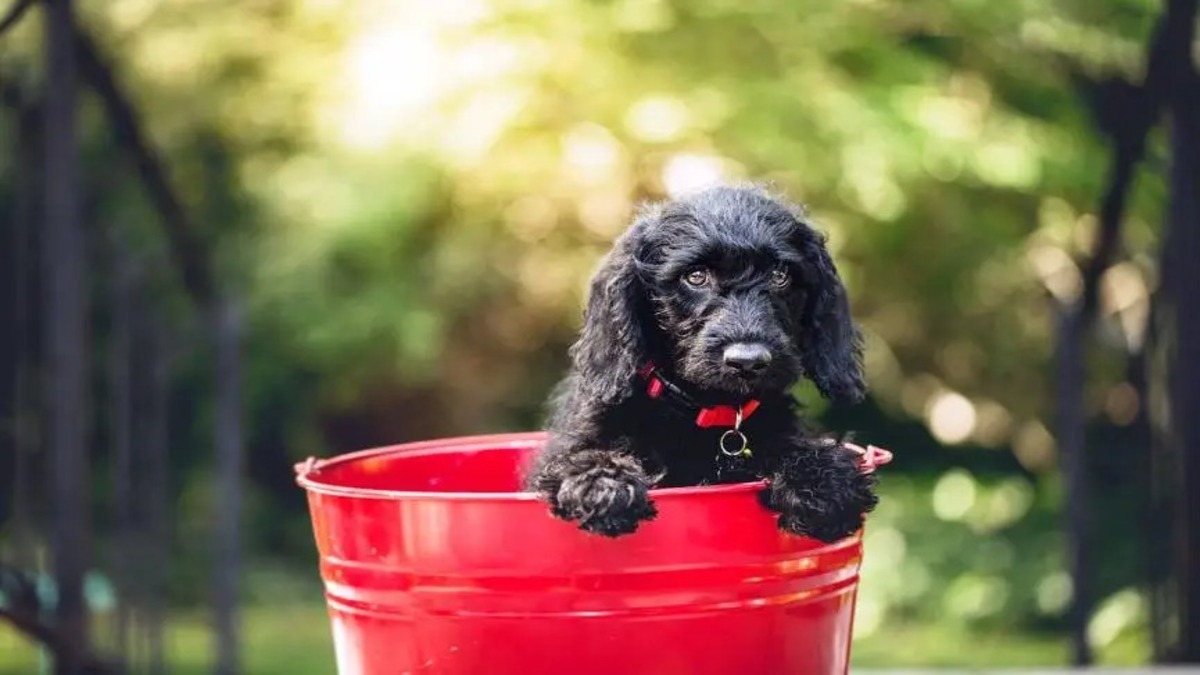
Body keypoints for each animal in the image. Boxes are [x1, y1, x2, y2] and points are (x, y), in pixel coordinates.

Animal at [530, 183, 878, 540]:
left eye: (780, 275)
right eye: (695, 276)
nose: (748, 361)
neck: (707, 410)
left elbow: (797, 445)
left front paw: (823, 481)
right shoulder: (570, 446)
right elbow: (579, 457)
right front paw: (603, 485)